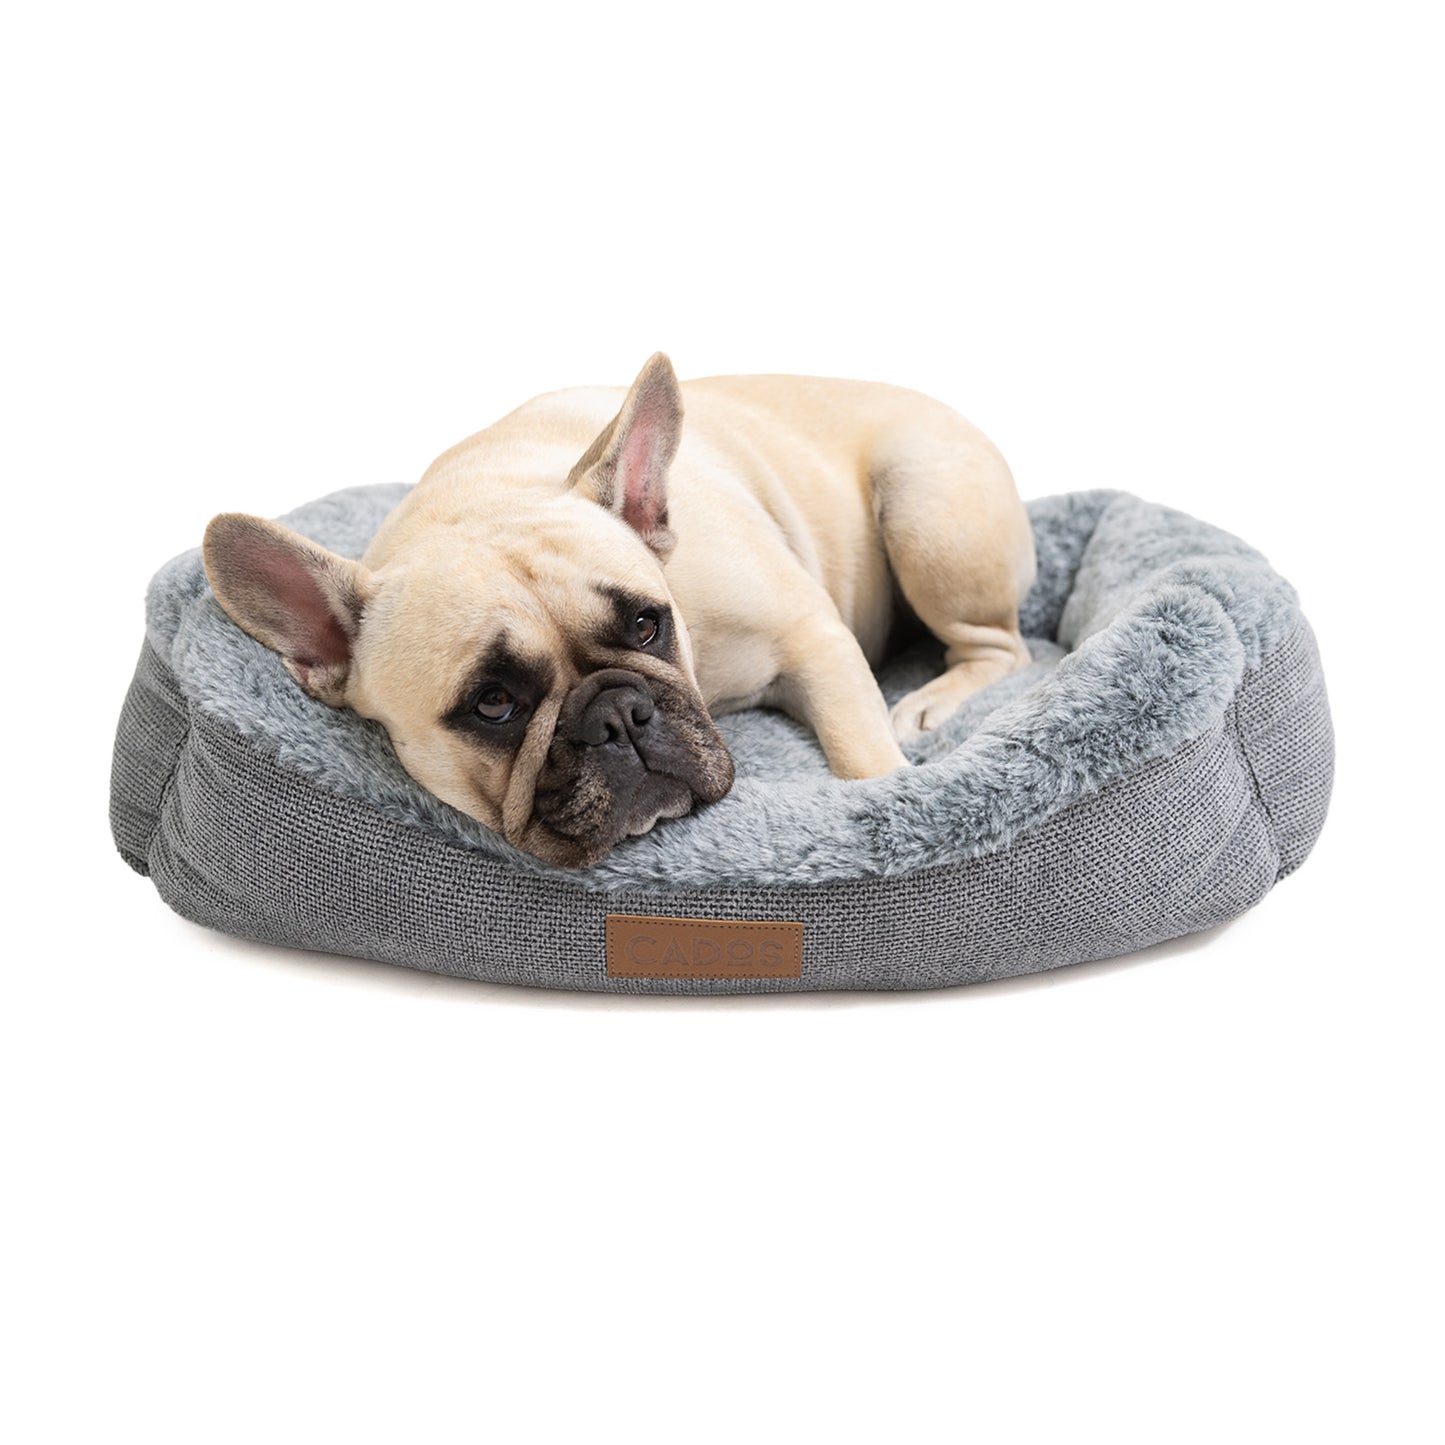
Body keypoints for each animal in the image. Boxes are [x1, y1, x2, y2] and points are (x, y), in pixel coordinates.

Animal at [203, 355, 1036, 867]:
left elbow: (859, 749)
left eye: (646, 624)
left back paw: (932, 702)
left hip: (924, 506)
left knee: (1001, 646)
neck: (481, 496)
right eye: (492, 703)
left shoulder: (811, 636)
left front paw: (887, 792)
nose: (616, 714)